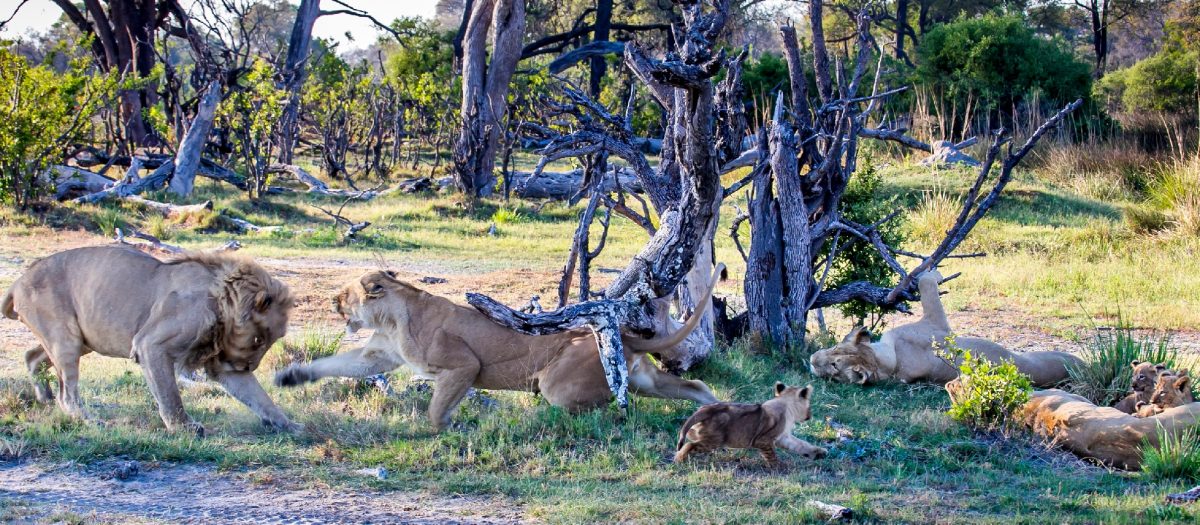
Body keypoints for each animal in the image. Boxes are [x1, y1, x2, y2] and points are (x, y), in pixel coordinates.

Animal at [1, 245, 296, 433]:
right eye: (259, 340)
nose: (248, 367)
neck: (222, 300)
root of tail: (17, 283)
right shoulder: (151, 344)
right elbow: (169, 394)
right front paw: (184, 428)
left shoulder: (223, 362)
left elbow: (259, 397)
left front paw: (288, 424)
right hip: (66, 339)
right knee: (68, 394)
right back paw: (90, 421)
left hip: (82, 339)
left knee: (32, 357)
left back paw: (45, 397)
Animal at [274, 266, 720, 431]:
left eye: (344, 294)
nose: (333, 302)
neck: (393, 317)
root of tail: (624, 335)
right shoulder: (376, 356)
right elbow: (334, 364)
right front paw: (291, 377)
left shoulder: (462, 366)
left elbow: (437, 407)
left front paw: (442, 429)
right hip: (644, 378)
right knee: (694, 385)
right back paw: (714, 413)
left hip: (561, 383)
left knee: (597, 408)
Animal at [672, 381, 830, 462]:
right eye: (809, 405)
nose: (810, 415)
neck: (785, 403)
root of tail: (707, 409)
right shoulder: (763, 439)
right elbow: (771, 455)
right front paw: (779, 468)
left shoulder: (783, 437)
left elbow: (801, 444)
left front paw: (818, 452)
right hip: (714, 440)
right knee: (689, 445)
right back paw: (679, 459)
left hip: (700, 433)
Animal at [806, 270, 1080, 385]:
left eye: (835, 362)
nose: (812, 360)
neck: (890, 360)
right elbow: (928, 284)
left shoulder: (934, 321)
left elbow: (927, 283)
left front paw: (932, 270)